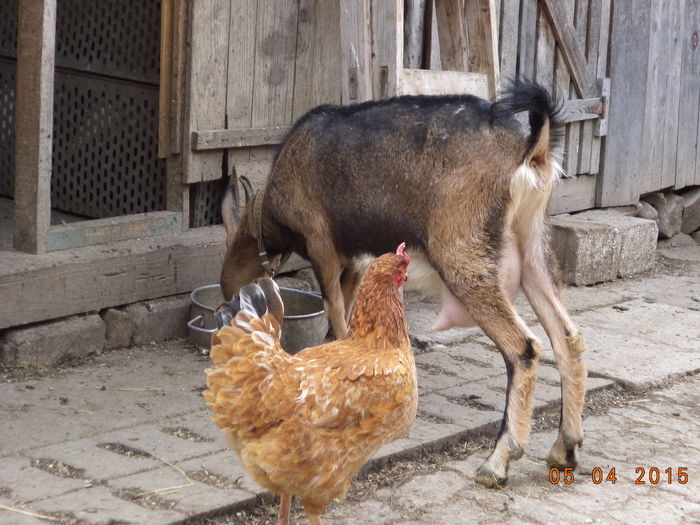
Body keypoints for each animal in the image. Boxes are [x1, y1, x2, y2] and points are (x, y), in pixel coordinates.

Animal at [219, 80, 584, 486]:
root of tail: (531, 147)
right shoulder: (356, 258)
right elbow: (345, 312)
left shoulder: (321, 244)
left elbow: (334, 307)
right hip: (533, 244)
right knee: (567, 336)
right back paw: (565, 447)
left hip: (463, 254)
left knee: (524, 347)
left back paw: (498, 461)